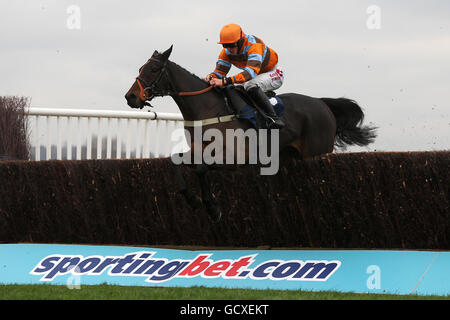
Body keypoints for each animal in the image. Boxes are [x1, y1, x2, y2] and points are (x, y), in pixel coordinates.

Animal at [125, 45, 378, 220]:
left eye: (153, 69)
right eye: (140, 69)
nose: (131, 97)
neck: (207, 109)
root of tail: (322, 103)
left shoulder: (234, 159)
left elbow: (200, 168)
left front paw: (211, 207)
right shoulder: (198, 152)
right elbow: (175, 161)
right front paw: (195, 200)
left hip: (317, 153)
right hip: (290, 155)